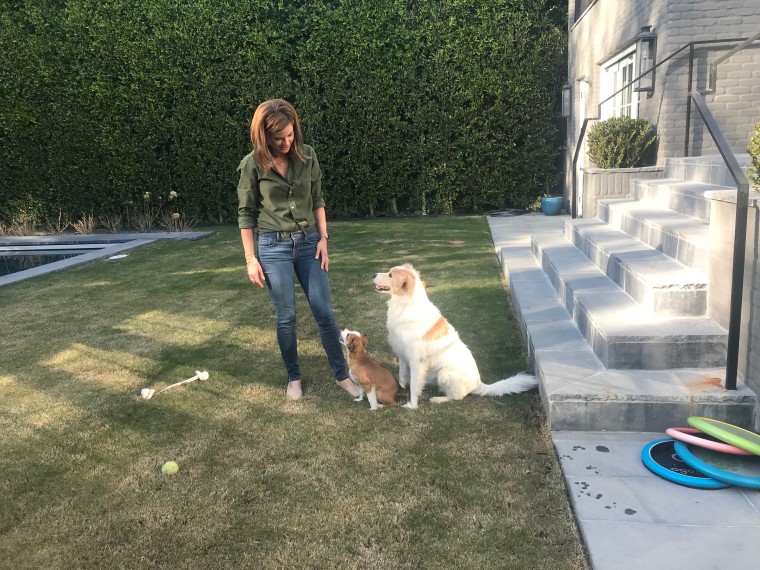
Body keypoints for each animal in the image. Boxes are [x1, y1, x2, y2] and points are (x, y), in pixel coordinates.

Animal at [372, 264, 536, 406]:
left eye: (390, 274)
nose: (373, 274)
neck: (406, 305)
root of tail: (479, 383)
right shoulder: (402, 354)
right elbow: (402, 377)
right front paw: (399, 390)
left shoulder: (416, 361)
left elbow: (414, 386)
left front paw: (411, 406)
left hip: (445, 373)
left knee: (457, 396)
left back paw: (438, 399)